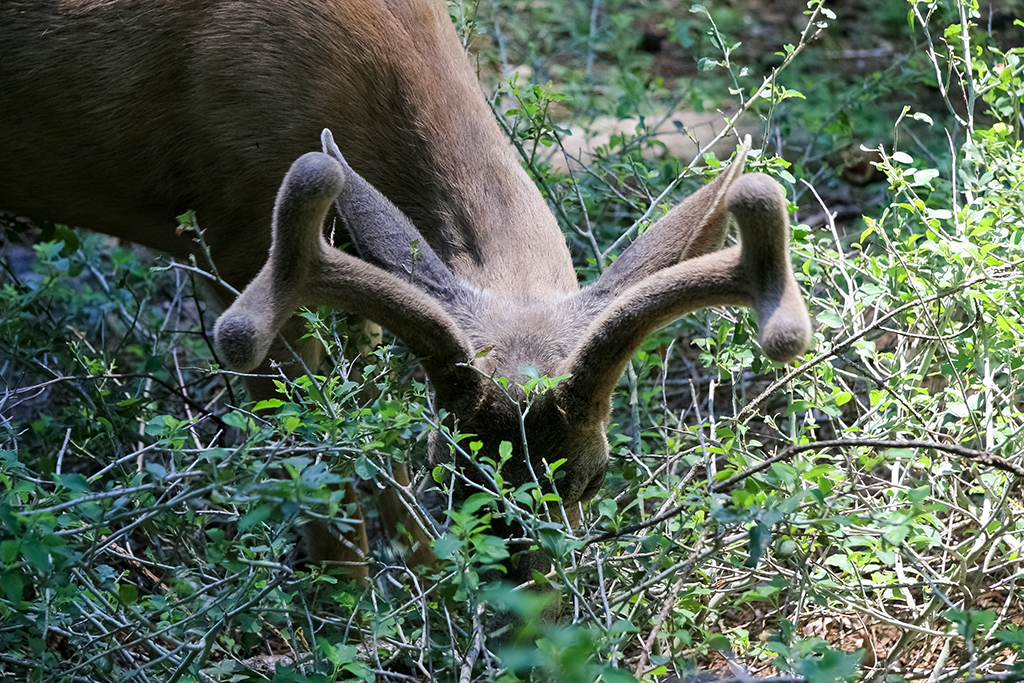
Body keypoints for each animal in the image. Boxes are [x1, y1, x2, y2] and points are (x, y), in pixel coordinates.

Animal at [4, 0, 811, 589]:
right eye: (449, 472)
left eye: (595, 475)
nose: (529, 615)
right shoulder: (238, 245)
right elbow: (324, 468)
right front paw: (361, 620)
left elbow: (369, 431)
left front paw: (430, 591)